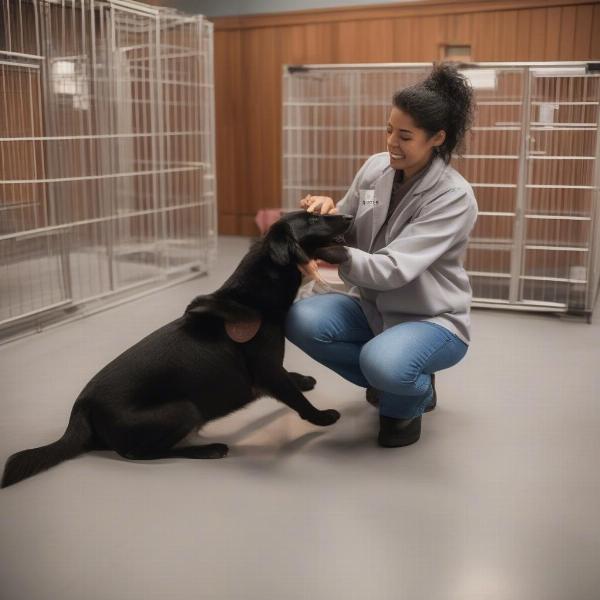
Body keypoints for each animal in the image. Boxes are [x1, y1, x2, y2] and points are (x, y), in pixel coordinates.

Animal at [1, 211, 352, 488]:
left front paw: (303, 379)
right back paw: (207, 450)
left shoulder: (270, 372)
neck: (253, 297)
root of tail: (81, 408)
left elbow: (291, 381)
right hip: (184, 409)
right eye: (313, 219)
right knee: (136, 453)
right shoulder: (267, 371)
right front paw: (322, 416)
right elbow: (295, 397)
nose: (348, 216)